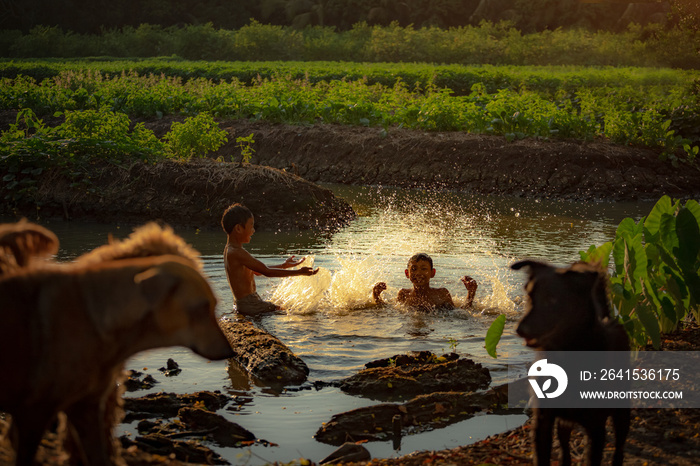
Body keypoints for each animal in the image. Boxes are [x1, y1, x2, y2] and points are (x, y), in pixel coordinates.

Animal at [512, 260, 632, 464]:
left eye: (552, 299)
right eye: (529, 296)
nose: (520, 329)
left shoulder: (596, 428)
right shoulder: (543, 420)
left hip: (622, 411)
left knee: (619, 446)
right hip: (564, 421)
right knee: (564, 446)